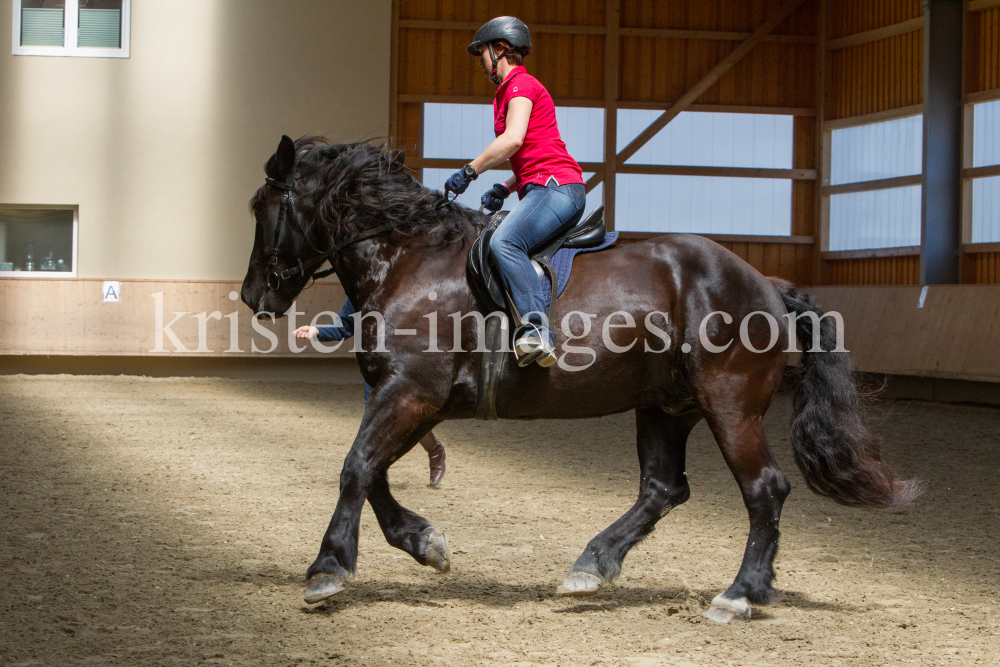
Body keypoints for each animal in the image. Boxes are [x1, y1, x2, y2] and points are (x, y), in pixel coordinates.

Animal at [238, 137, 916, 628]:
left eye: (263, 208)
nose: (253, 296)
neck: (409, 256)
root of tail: (765, 284)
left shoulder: (410, 392)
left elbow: (356, 466)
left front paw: (328, 569)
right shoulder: (414, 400)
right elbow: (371, 472)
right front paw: (424, 542)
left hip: (730, 404)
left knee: (764, 489)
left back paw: (740, 594)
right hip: (666, 406)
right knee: (663, 488)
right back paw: (593, 564)